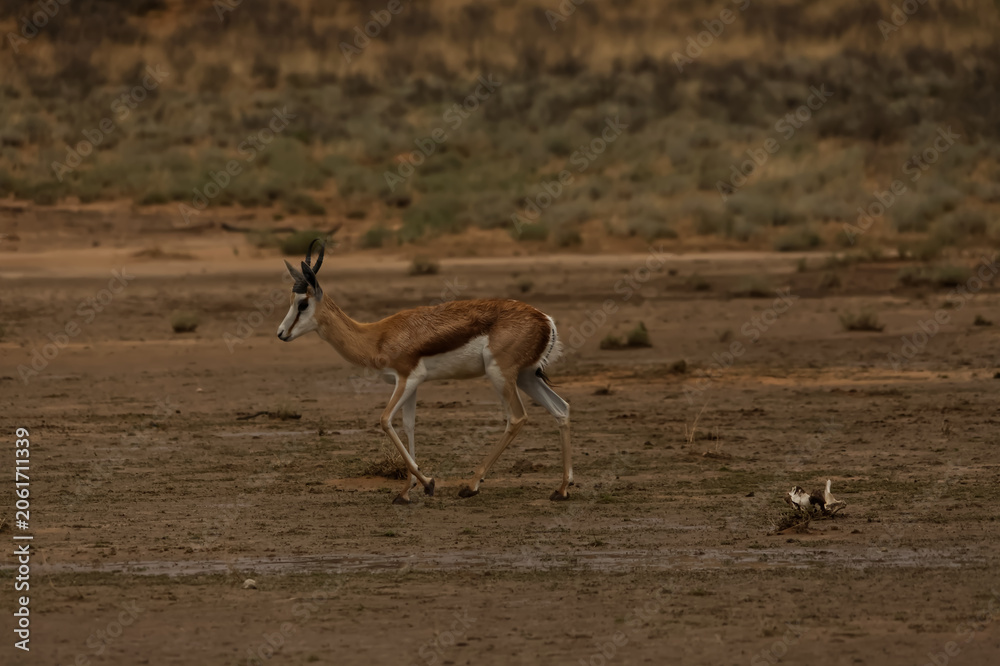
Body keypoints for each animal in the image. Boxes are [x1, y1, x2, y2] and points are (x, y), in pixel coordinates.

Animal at [277, 241, 572, 504]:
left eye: (302, 304)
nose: (281, 333)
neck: (377, 337)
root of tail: (545, 319)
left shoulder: (407, 379)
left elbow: (385, 420)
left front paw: (428, 484)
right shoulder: (412, 385)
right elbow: (409, 426)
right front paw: (406, 492)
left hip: (501, 375)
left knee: (517, 417)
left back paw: (471, 486)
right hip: (526, 377)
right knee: (561, 409)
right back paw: (561, 490)